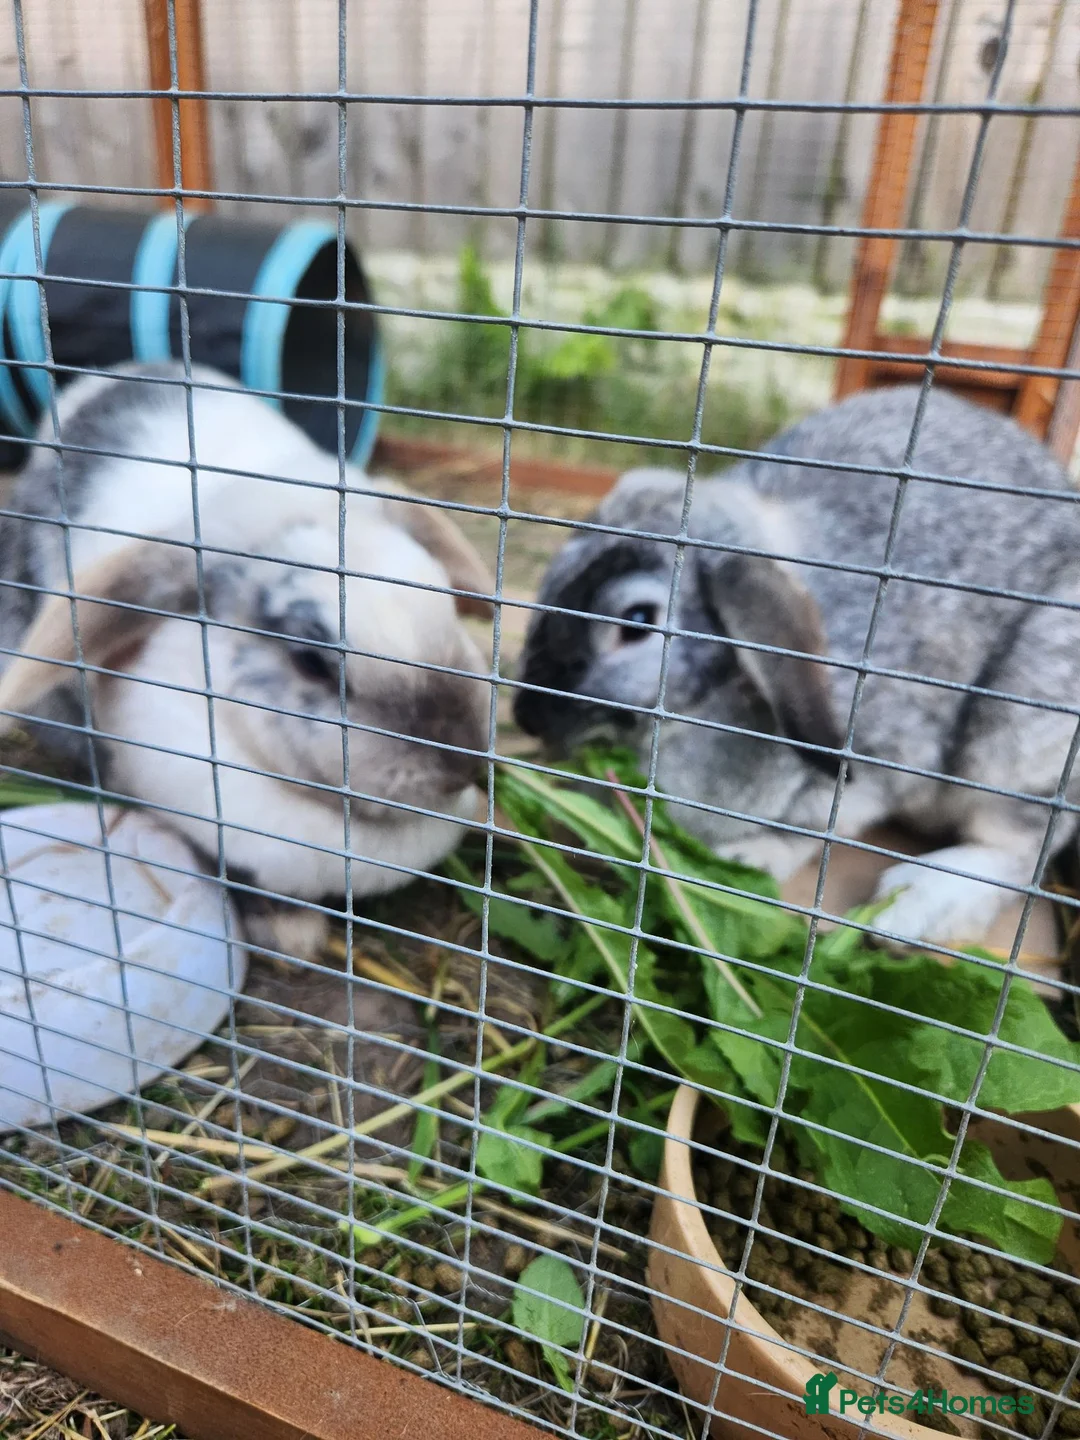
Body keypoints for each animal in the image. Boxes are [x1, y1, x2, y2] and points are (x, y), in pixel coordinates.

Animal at [514, 384, 1080, 950]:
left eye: (635, 622)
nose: (527, 718)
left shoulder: (877, 766)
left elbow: (808, 829)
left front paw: (745, 861)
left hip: (1015, 737)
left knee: (1022, 847)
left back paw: (912, 908)